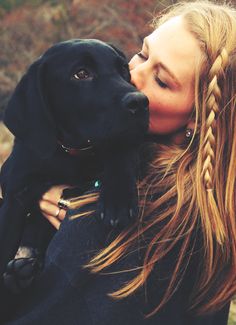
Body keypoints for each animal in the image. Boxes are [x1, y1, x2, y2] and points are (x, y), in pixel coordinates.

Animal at [0, 39, 148, 292]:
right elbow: (5, 241)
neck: (73, 152)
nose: (141, 102)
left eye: (123, 70)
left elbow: (121, 151)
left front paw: (117, 198)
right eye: (81, 74)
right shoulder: (15, 192)